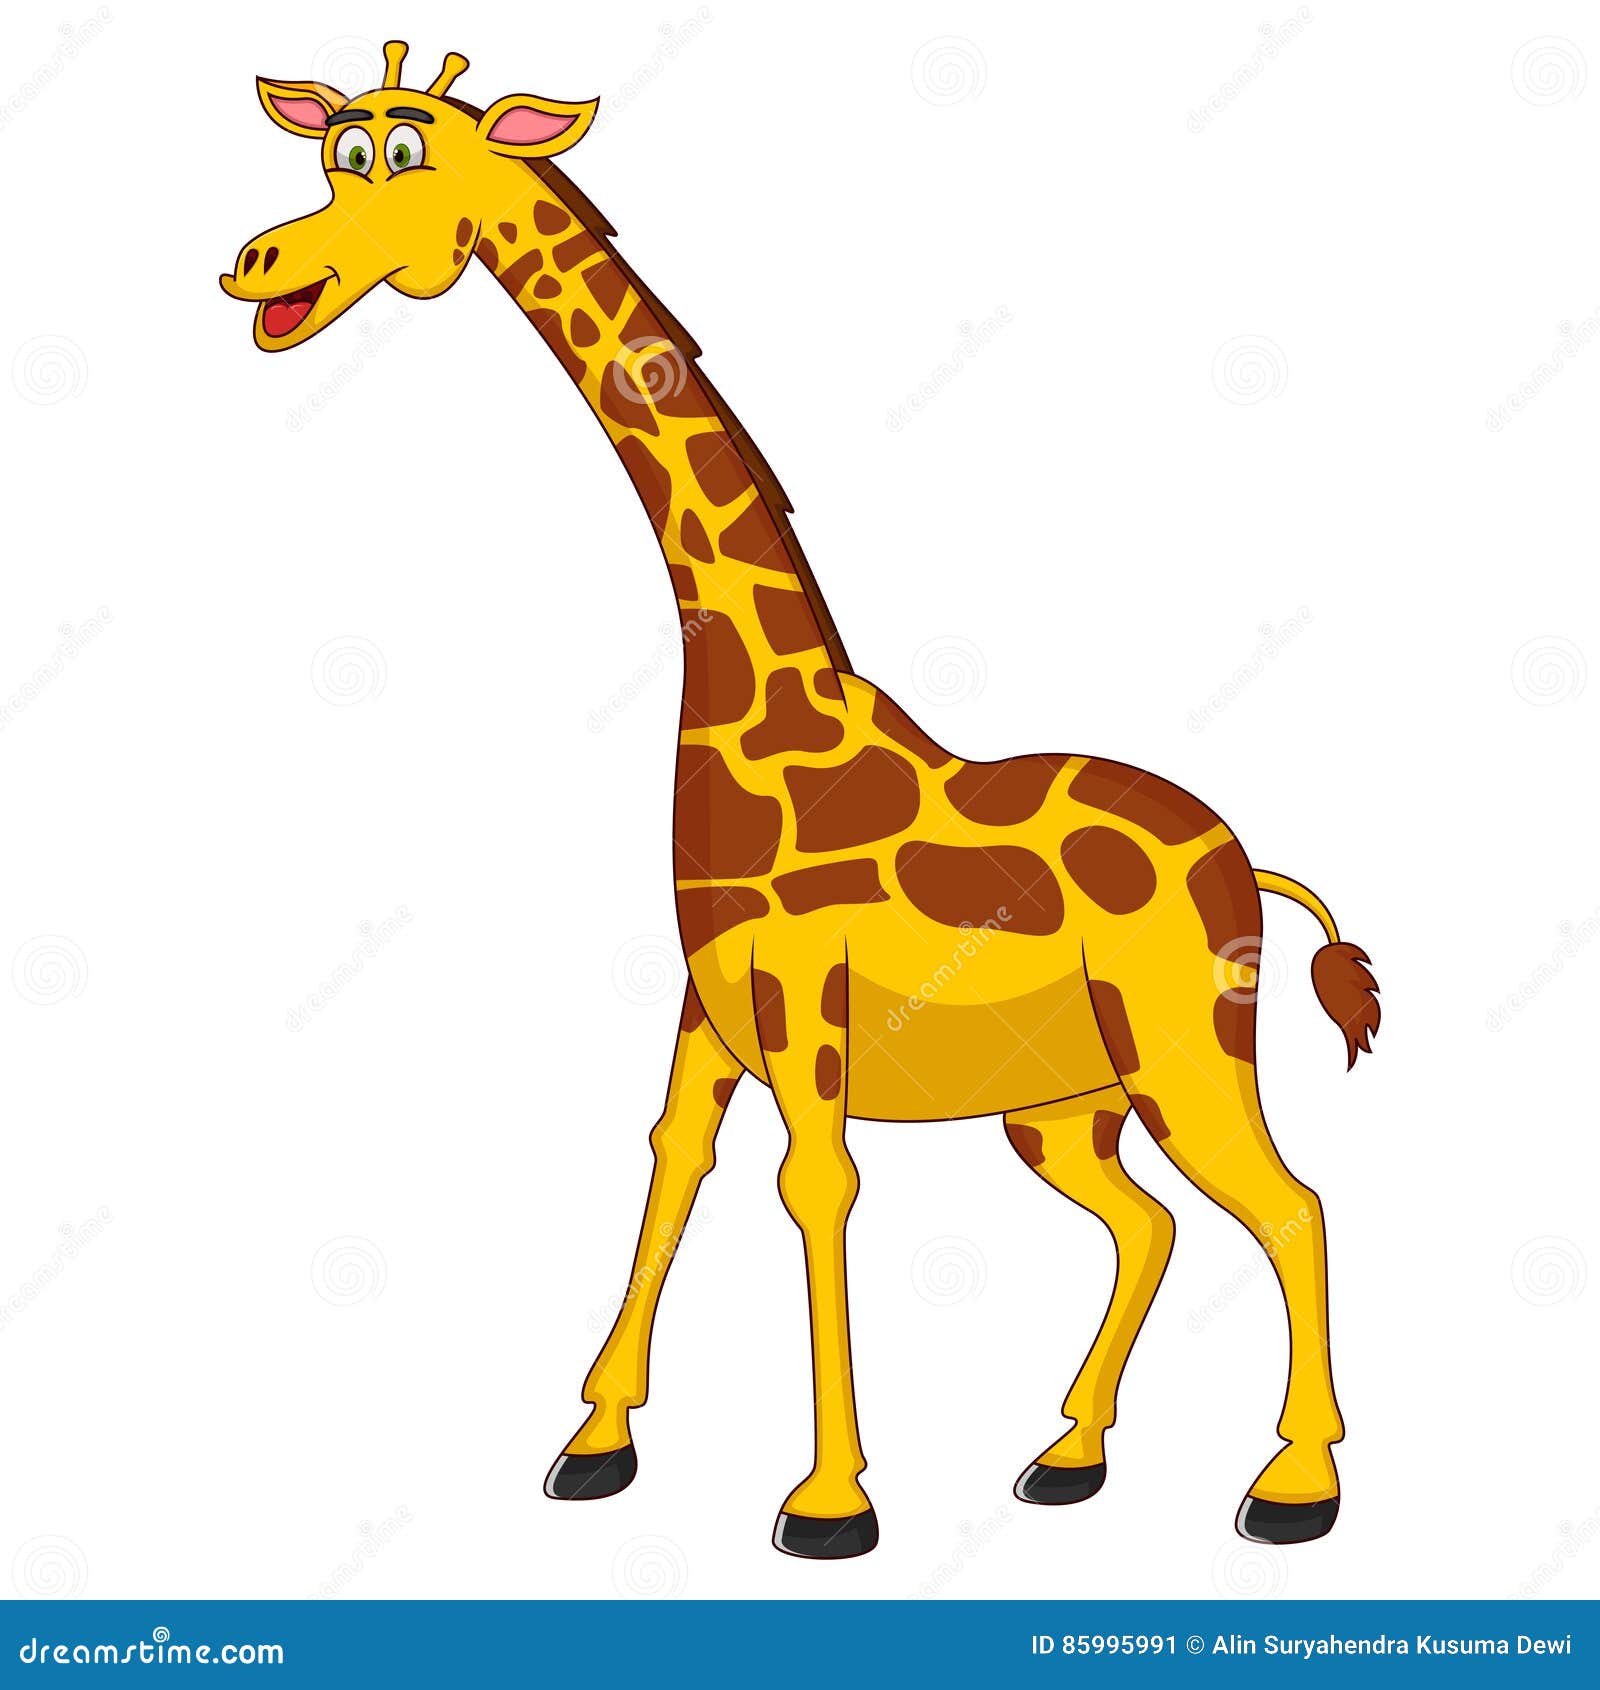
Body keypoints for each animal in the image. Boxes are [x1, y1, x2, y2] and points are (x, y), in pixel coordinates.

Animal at [222, 41, 1381, 1561]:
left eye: (405, 157)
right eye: (330, 154)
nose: (255, 261)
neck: (754, 703)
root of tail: (1249, 860)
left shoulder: (801, 995)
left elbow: (814, 1186)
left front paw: (829, 1502)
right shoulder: (708, 1005)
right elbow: (672, 1160)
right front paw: (595, 1444)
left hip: (1185, 1050)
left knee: (1292, 1205)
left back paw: (1294, 1486)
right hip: (1066, 1104)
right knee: (1151, 1224)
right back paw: (1065, 1455)